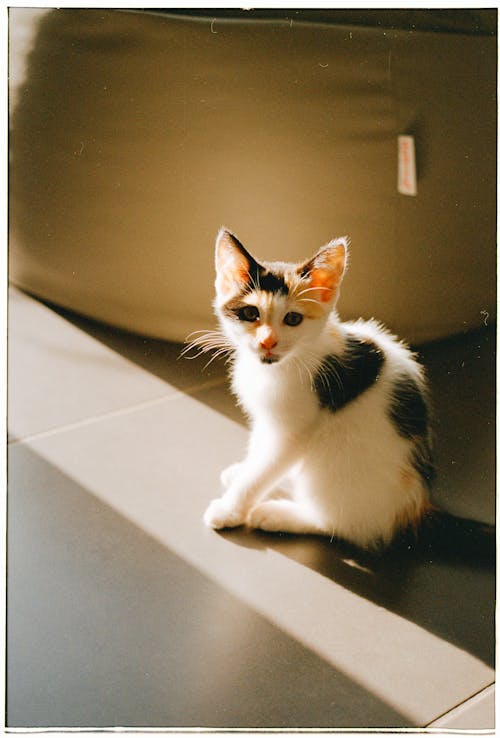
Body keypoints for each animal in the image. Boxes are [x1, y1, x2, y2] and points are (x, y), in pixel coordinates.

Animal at [193, 227, 432, 548]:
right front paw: (244, 470)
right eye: (251, 314)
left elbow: (263, 470)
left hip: (338, 465)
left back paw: (276, 515)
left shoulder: (295, 431)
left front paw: (230, 509)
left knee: (339, 524)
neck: (282, 366)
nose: (268, 341)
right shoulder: (266, 420)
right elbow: (260, 456)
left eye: (293, 318)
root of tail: (414, 510)